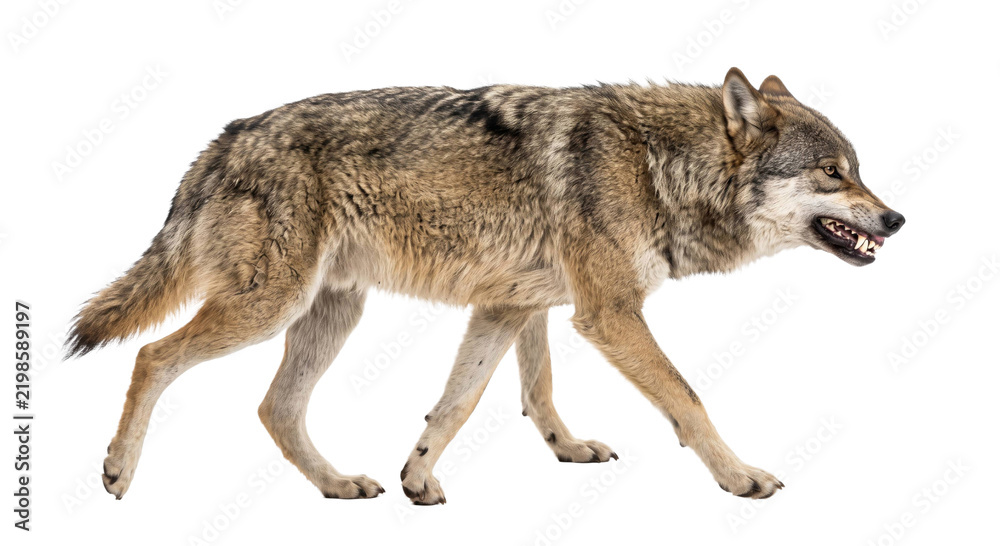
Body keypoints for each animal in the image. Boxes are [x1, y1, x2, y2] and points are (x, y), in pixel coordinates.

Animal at [66, 67, 904, 504]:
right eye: (834, 173)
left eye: (858, 168)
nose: (896, 218)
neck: (659, 166)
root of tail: (222, 139)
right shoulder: (606, 314)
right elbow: (687, 400)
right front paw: (740, 477)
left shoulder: (510, 307)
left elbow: (483, 399)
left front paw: (424, 475)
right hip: (267, 307)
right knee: (152, 358)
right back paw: (116, 471)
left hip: (329, 313)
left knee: (275, 408)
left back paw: (338, 485)